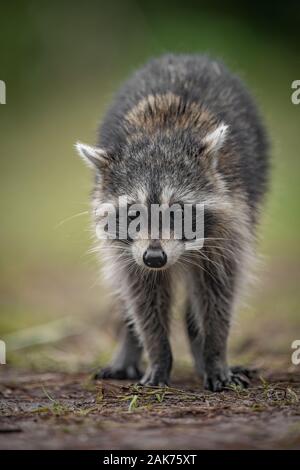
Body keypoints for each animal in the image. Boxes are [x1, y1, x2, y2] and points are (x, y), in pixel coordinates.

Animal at [76, 53, 268, 392]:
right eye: (134, 214)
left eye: (177, 212)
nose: (155, 257)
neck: (161, 134)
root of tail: (185, 55)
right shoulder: (130, 251)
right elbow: (142, 297)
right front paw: (158, 355)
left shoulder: (232, 221)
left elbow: (219, 292)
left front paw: (215, 351)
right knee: (124, 292)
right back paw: (129, 344)